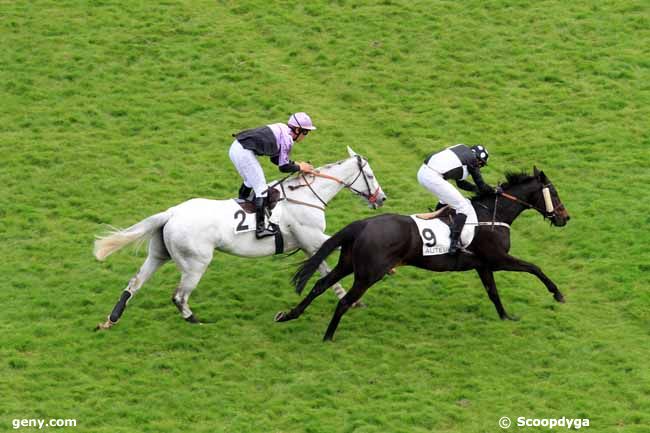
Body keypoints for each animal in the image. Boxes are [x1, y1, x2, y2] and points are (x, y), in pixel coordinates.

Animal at [92, 147, 384, 330]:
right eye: (370, 175)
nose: (381, 198)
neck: (306, 195)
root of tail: (172, 213)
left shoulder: (308, 246)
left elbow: (325, 271)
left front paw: (351, 298)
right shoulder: (313, 238)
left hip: (159, 255)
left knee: (134, 283)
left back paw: (111, 319)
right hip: (196, 263)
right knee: (179, 296)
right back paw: (195, 321)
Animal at [276, 169, 568, 340]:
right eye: (554, 193)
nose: (565, 217)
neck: (492, 215)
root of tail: (362, 224)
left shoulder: (483, 265)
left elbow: (493, 292)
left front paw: (506, 317)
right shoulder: (498, 260)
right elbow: (535, 268)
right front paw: (557, 293)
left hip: (349, 264)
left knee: (320, 284)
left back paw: (289, 315)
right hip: (369, 274)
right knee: (345, 301)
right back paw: (328, 337)